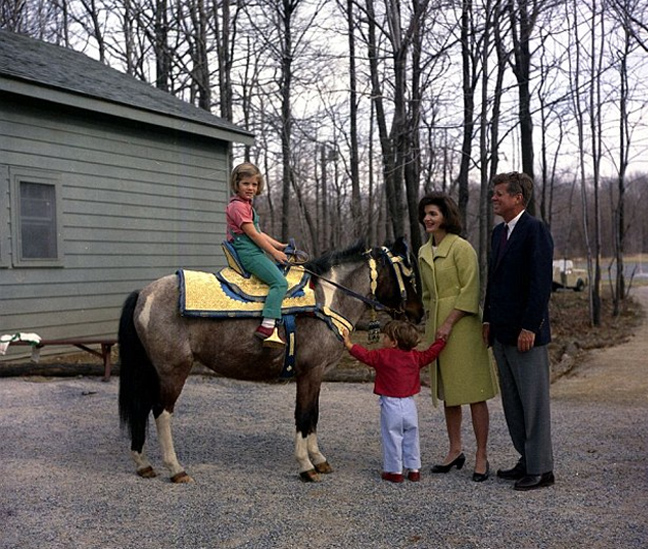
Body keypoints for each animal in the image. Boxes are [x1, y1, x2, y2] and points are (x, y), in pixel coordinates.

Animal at [118, 238, 422, 482]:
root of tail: (144, 294)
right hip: (173, 370)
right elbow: (303, 415)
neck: (325, 301)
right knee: (161, 411)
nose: (418, 314)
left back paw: (143, 464)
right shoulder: (309, 372)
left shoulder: (317, 375)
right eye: (408, 276)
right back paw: (175, 469)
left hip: (152, 370)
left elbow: (314, 414)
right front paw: (306, 466)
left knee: (142, 408)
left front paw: (319, 459)